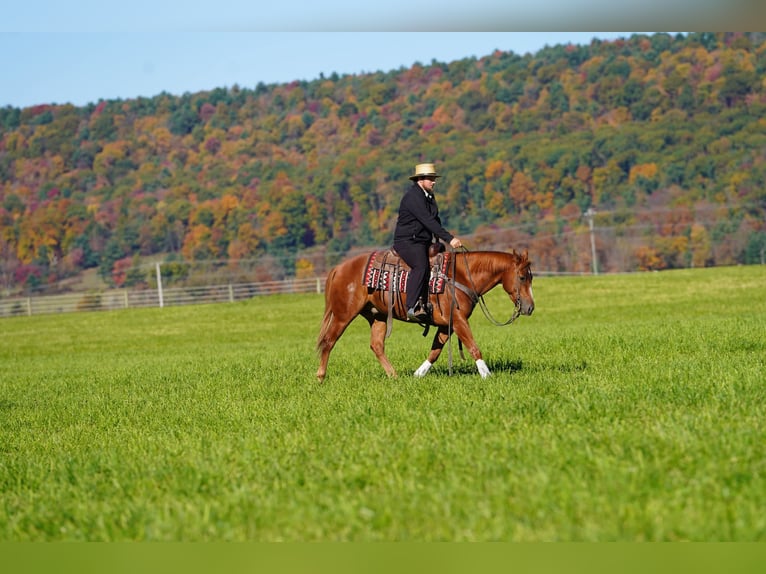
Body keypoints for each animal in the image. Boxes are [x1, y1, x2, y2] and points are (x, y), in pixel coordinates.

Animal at [316, 248, 534, 380]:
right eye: (522, 277)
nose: (530, 307)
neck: (461, 275)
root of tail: (339, 268)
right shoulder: (459, 321)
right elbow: (473, 347)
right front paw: (486, 374)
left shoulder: (446, 325)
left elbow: (435, 351)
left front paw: (418, 374)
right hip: (343, 315)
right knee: (328, 341)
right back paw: (320, 376)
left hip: (377, 316)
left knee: (376, 345)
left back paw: (394, 376)